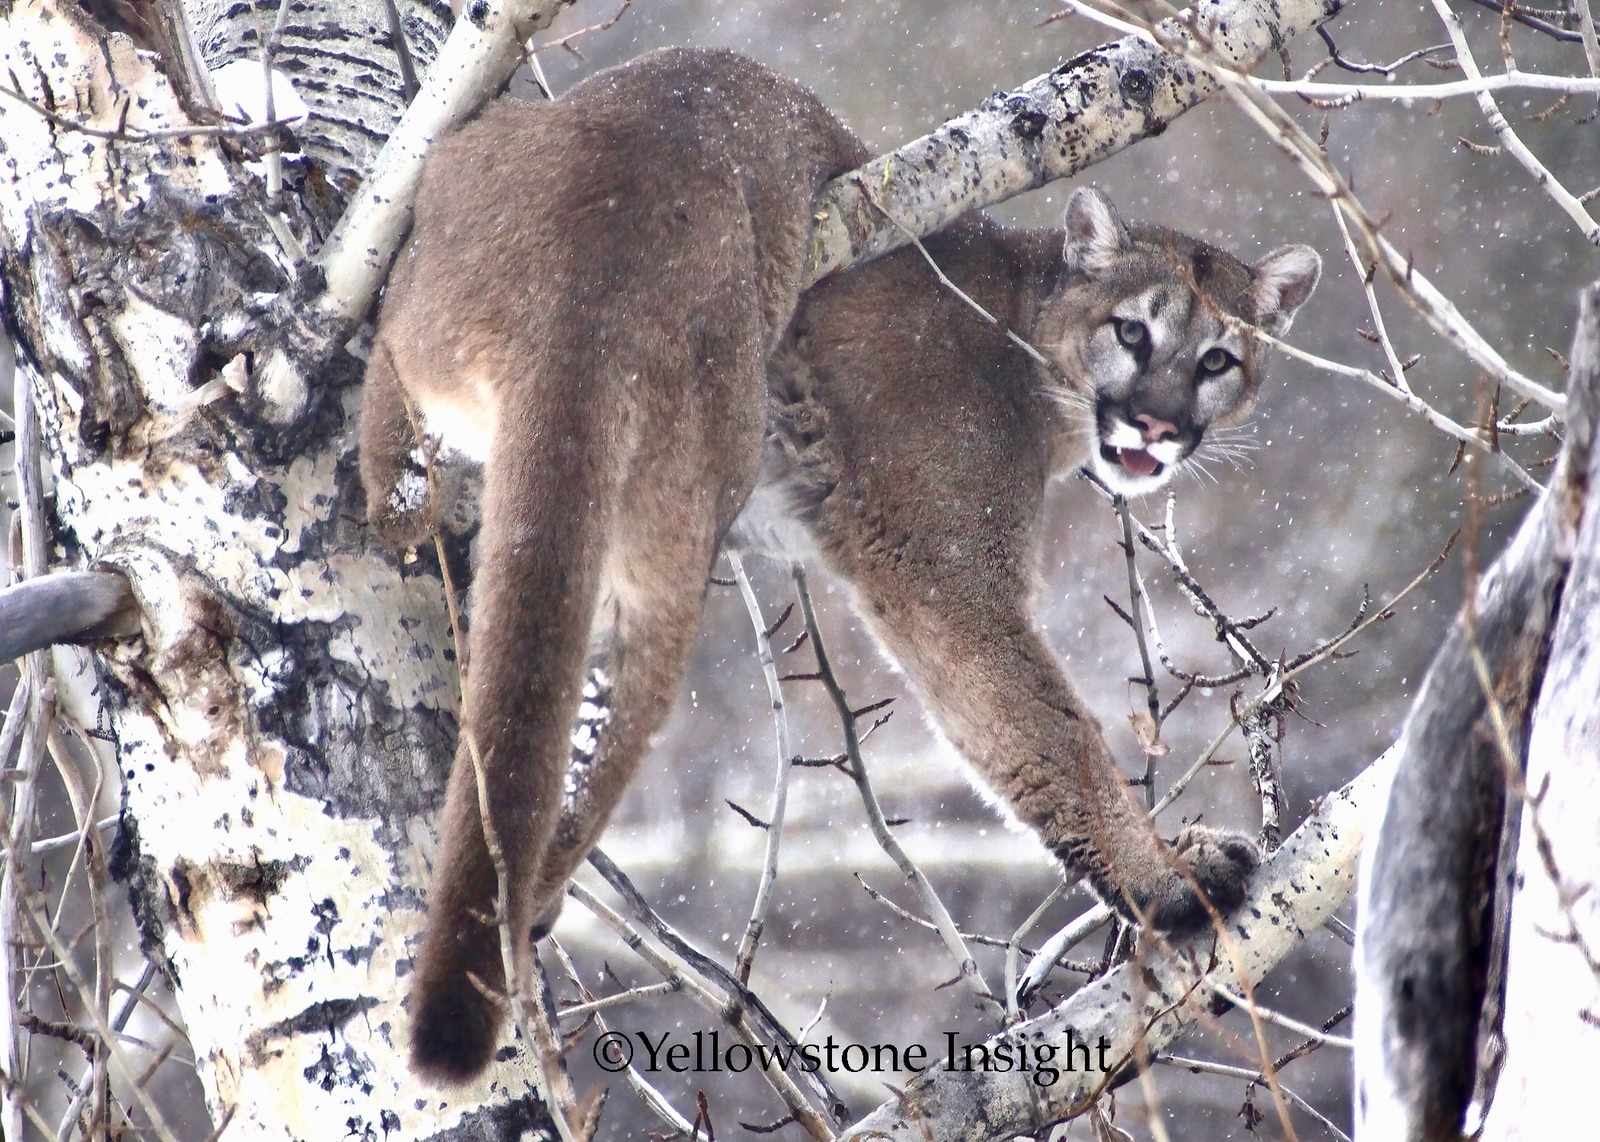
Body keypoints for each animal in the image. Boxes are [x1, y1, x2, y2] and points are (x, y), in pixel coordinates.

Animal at [366, 46, 1324, 1074]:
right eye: (1133, 331)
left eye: (1219, 360)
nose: (1154, 424)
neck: (1033, 361)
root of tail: (599, 245)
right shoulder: (946, 574)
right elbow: (1046, 738)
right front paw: (1170, 882)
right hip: (698, 466)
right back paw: (530, 903)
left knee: (392, 419)